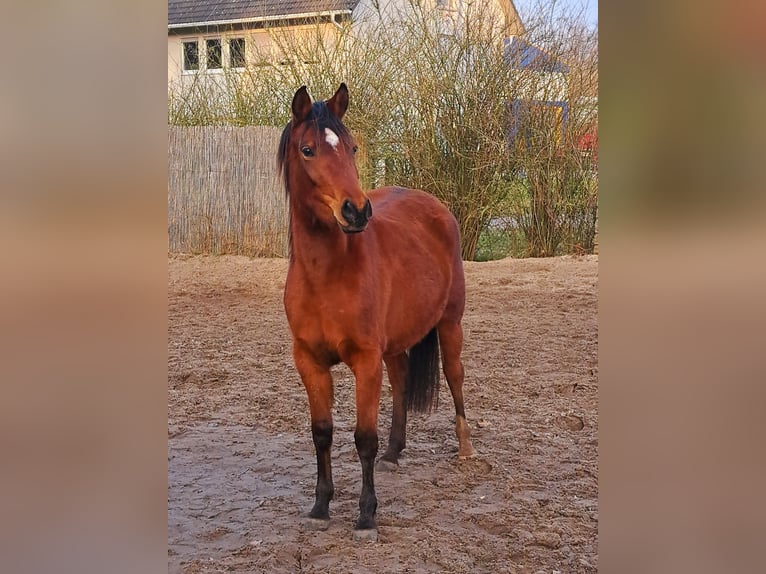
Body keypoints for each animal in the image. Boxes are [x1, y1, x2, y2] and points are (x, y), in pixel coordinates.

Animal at [282, 83, 474, 544]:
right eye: (308, 149)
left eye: (351, 147)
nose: (357, 211)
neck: (327, 274)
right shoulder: (309, 362)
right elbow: (322, 434)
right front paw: (320, 507)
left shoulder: (365, 360)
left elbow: (362, 438)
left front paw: (366, 516)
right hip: (396, 342)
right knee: (402, 380)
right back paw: (394, 451)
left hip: (450, 325)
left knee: (455, 376)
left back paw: (465, 447)